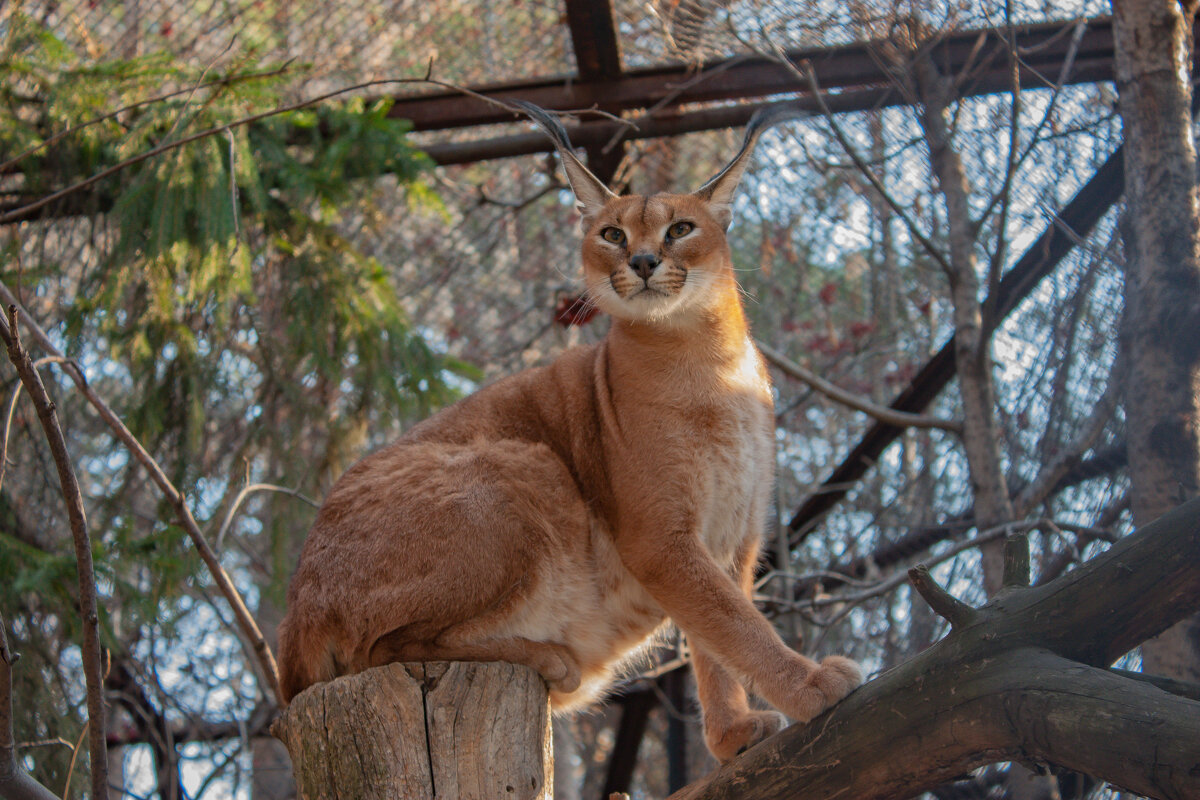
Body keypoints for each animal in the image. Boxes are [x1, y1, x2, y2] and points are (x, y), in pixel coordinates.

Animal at [278, 101, 864, 762]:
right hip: (527, 466)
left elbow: (717, 636)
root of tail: (294, 611)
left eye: (680, 229)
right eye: (611, 234)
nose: (642, 262)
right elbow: (736, 623)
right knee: (379, 648)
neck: (708, 355)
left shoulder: (733, 536)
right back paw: (549, 659)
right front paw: (810, 686)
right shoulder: (662, 539)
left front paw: (732, 735)